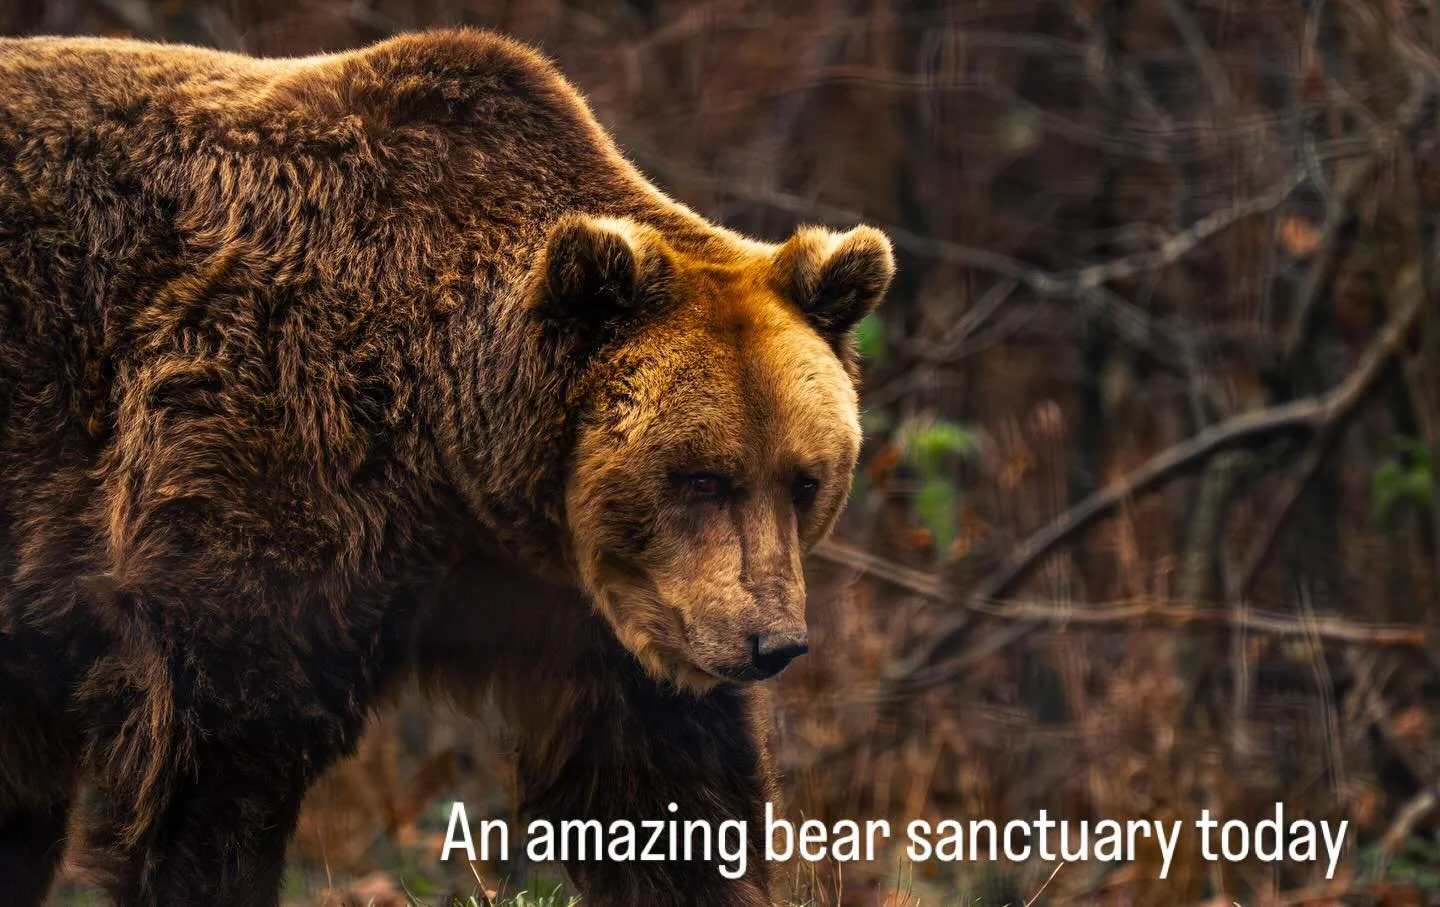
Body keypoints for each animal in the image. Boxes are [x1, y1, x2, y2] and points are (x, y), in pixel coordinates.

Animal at [0, 28, 893, 907]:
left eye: (804, 480)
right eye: (702, 477)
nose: (772, 642)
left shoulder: (582, 594)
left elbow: (662, 779)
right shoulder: (262, 447)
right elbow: (213, 754)